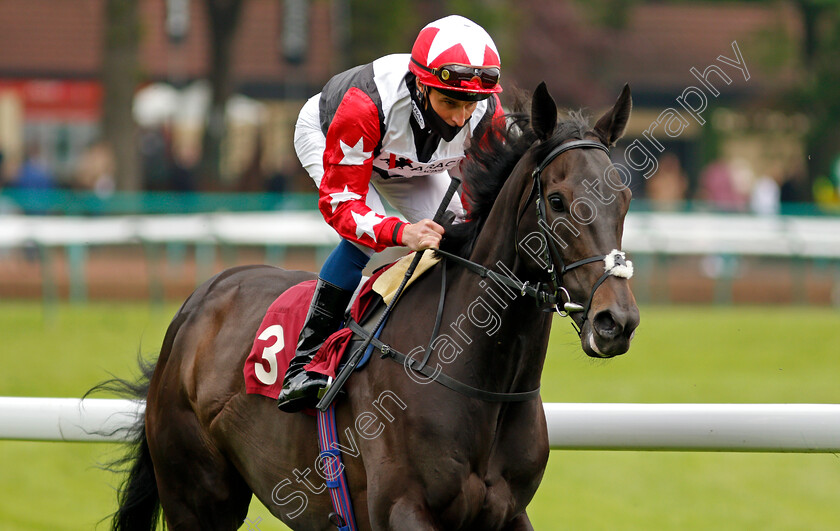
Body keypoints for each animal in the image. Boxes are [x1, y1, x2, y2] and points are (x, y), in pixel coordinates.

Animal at [108, 83, 640, 531]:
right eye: (558, 200)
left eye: (626, 197)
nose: (616, 321)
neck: (479, 382)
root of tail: (203, 297)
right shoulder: (403, 510)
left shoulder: (507, 513)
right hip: (196, 495)